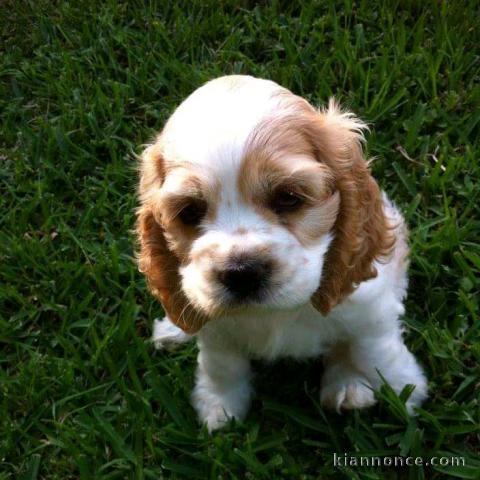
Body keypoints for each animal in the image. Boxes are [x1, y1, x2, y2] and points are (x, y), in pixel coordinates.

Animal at [135, 74, 428, 432]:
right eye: (189, 212)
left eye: (289, 197)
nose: (241, 273)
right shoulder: (215, 329)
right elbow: (221, 366)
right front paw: (219, 407)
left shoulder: (370, 312)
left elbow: (378, 354)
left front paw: (406, 393)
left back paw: (347, 386)